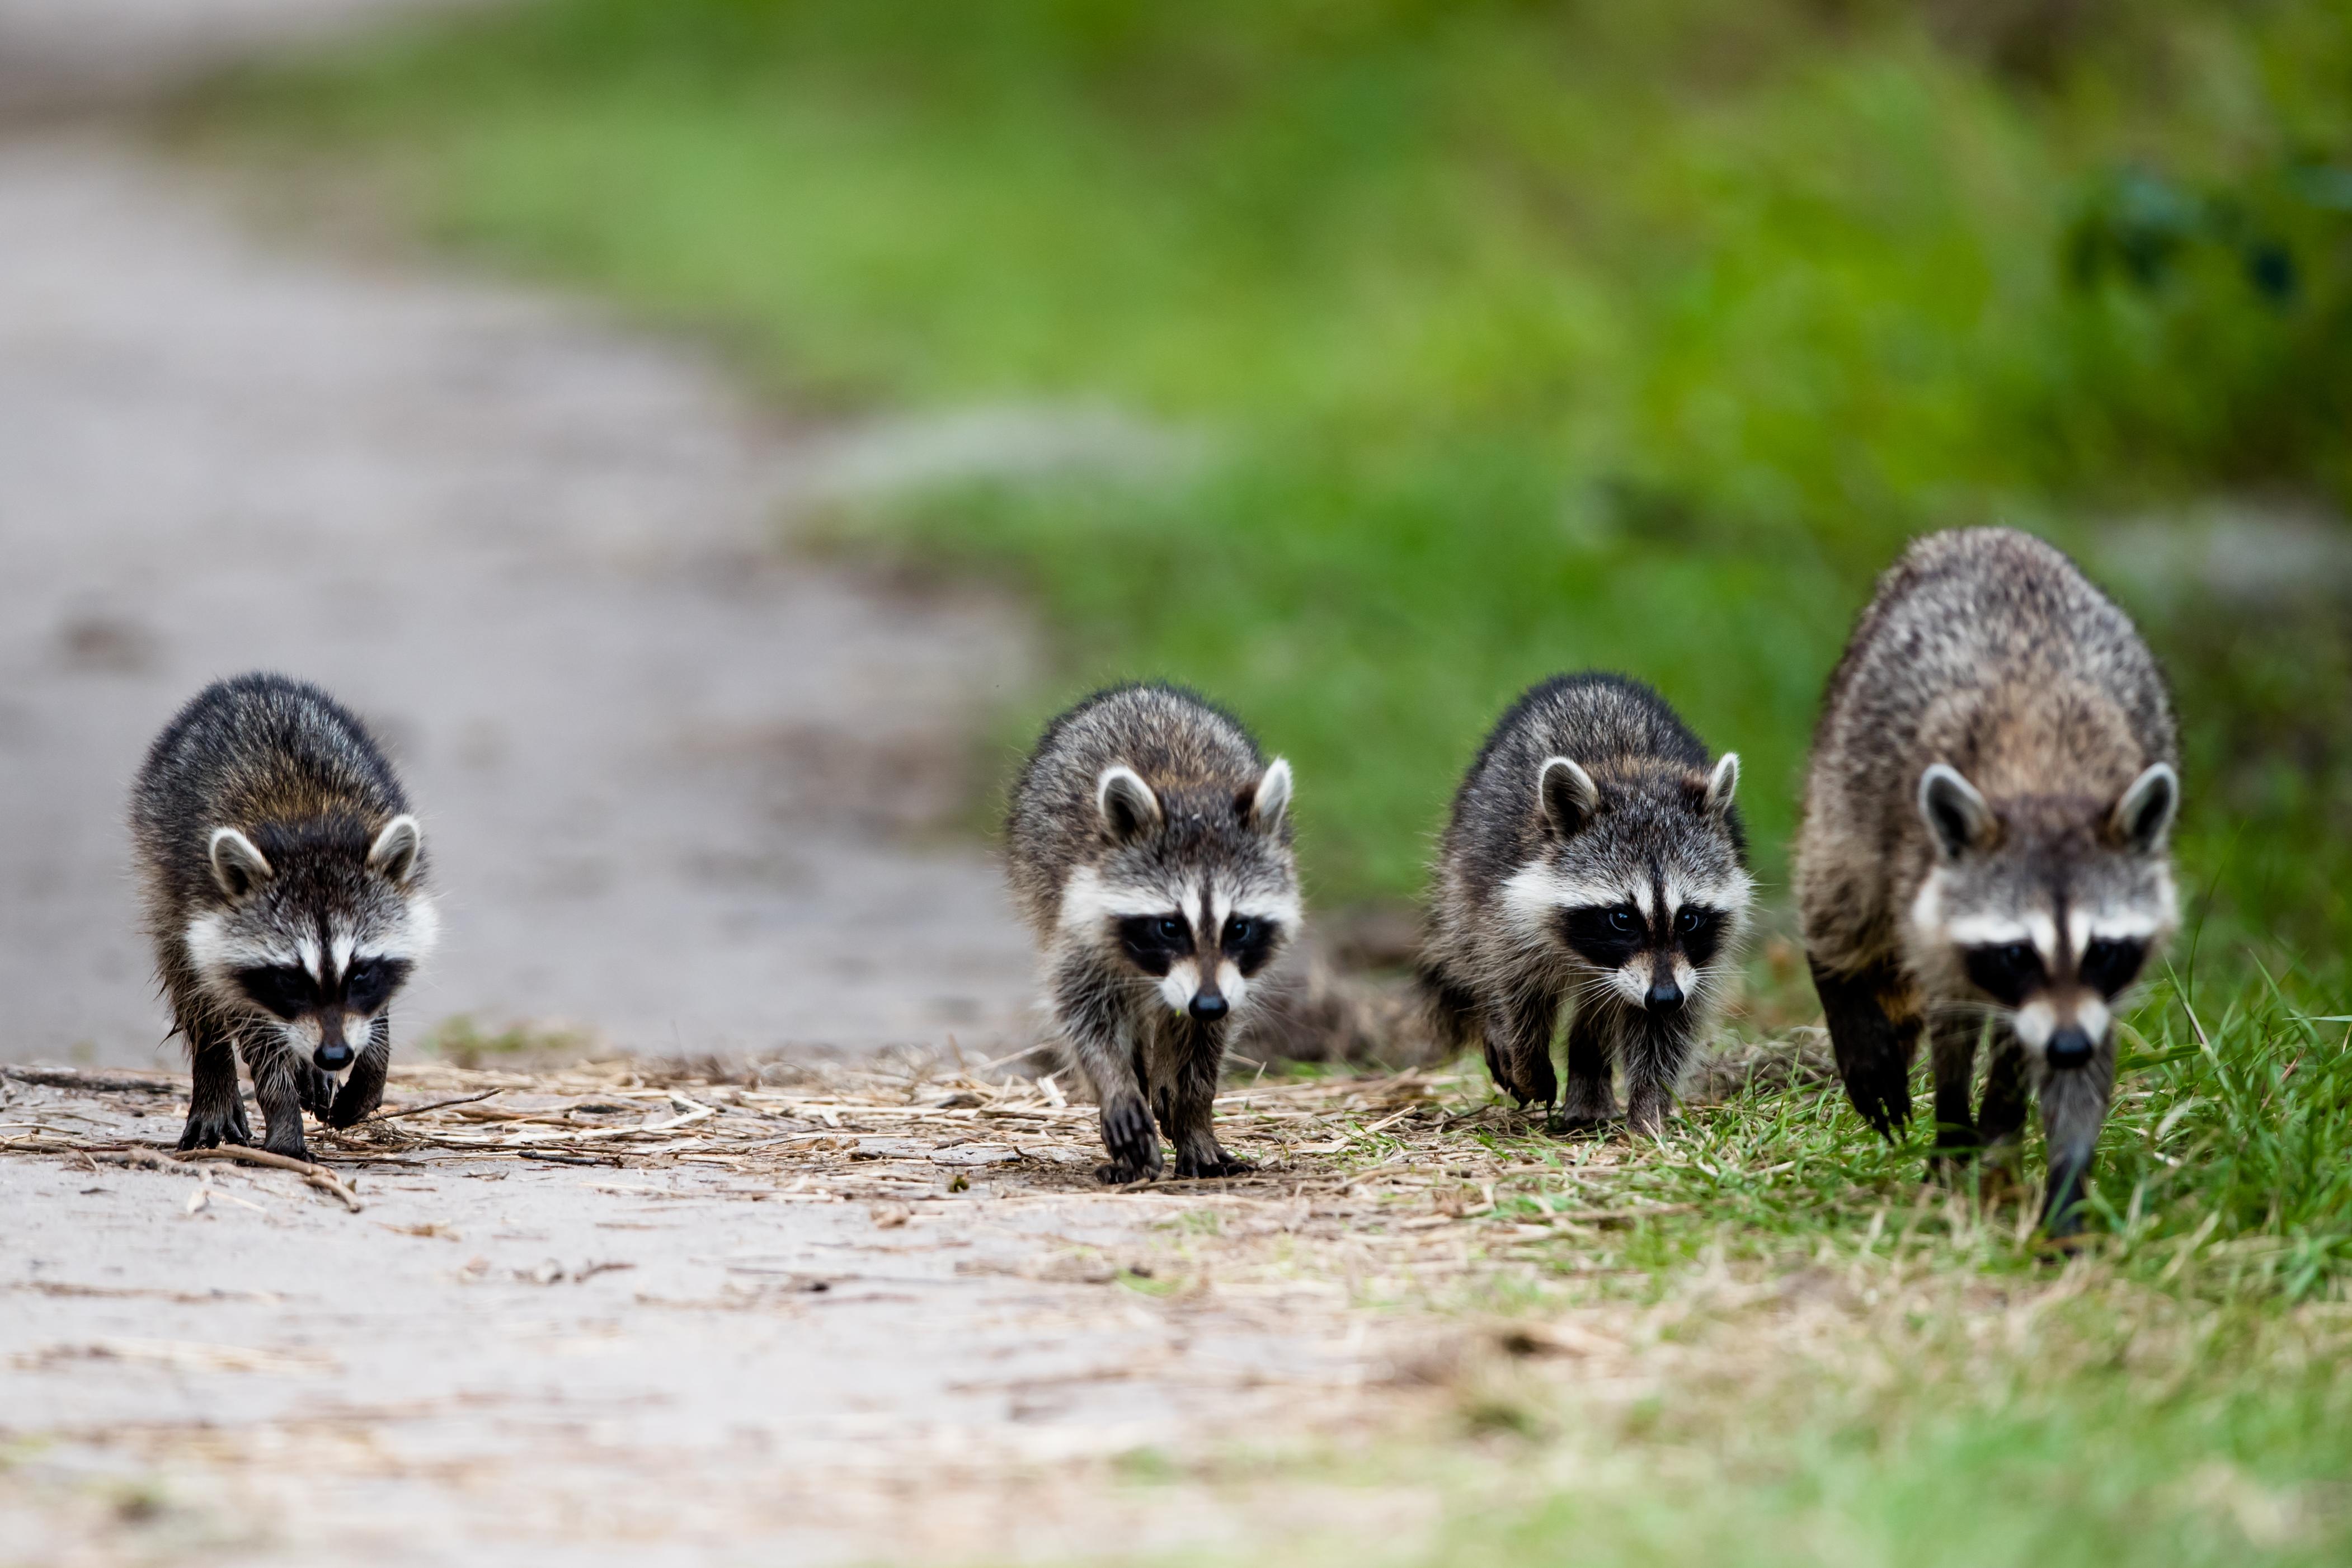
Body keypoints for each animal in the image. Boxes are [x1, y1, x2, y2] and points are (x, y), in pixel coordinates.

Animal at [131, 673, 439, 1160]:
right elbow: (255, 1028)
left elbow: (375, 1018)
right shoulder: (209, 913)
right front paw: (284, 1122)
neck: (308, 830)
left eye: (360, 972)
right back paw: (215, 1073)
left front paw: (369, 1073)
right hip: (162, 870)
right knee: (190, 978)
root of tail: (248, 684)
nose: (334, 1055)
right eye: (290, 978)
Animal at [1006, 683, 1298, 1183]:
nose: (1207, 1003)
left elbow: (1207, 1042)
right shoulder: (1080, 926)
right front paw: (1117, 1083)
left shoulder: (1230, 979)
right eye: (1170, 926)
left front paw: (1195, 1114)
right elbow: (1083, 1014)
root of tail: (1142, 691)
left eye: (1239, 927)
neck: (1192, 796)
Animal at [1420, 674, 1752, 1136]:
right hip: (1463, 860)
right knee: (1470, 951)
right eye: (1622, 918)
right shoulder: (1506, 908)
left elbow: (1666, 1031)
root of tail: (1592, 681)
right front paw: (1526, 1060)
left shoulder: (1690, 966)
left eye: (1688, 917)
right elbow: (1516, 991)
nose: (1664, 996)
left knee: (1599, 1014)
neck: (1632, 772)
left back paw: (1590, 1082)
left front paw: (1649, 1108)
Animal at [1794, 528, 2180, 1233]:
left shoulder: (2090, 992)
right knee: (1839, 892)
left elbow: (2075, 1065)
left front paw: (2062, 1180)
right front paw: (1953, 1129)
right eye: (2016, 952)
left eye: (2103, 948)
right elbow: (1952, 1017)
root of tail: (1990, 534)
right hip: (1848, 766)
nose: (2065, 1044)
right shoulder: (1926, 876)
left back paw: (2001, 1126)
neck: (2043, 778)